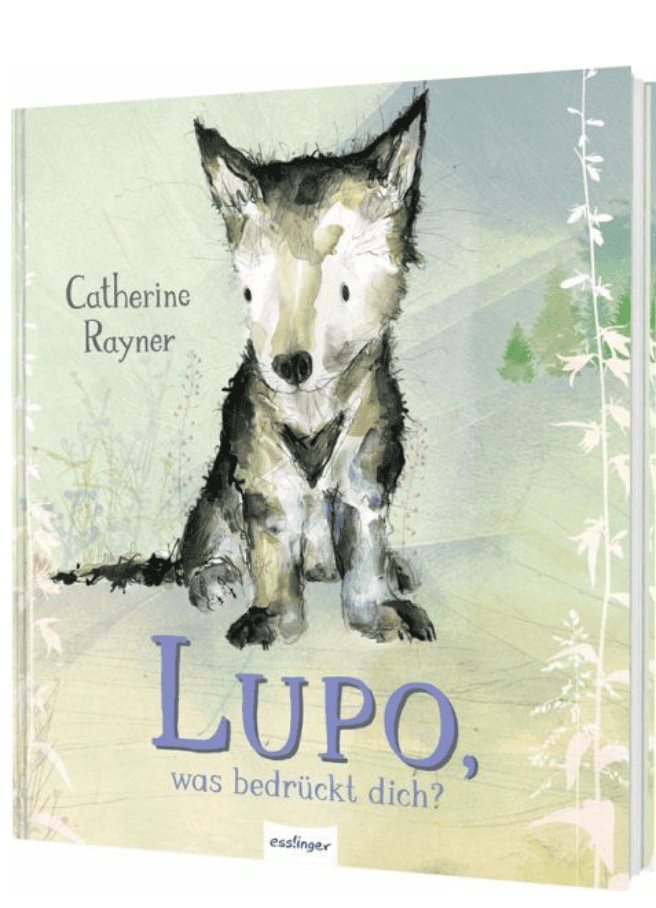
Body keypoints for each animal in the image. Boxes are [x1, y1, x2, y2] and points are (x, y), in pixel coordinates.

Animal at [180, 93, 435, 649]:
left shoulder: (366, 476)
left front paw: (377, 612)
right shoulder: (264, 481)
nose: (290, 364)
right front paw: (274, 619)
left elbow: (365, 554)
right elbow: (272, 557)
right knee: (207, 544)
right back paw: (214, 575)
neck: (312, 407)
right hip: (215, 501)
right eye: (254, 292)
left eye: (344, 289)